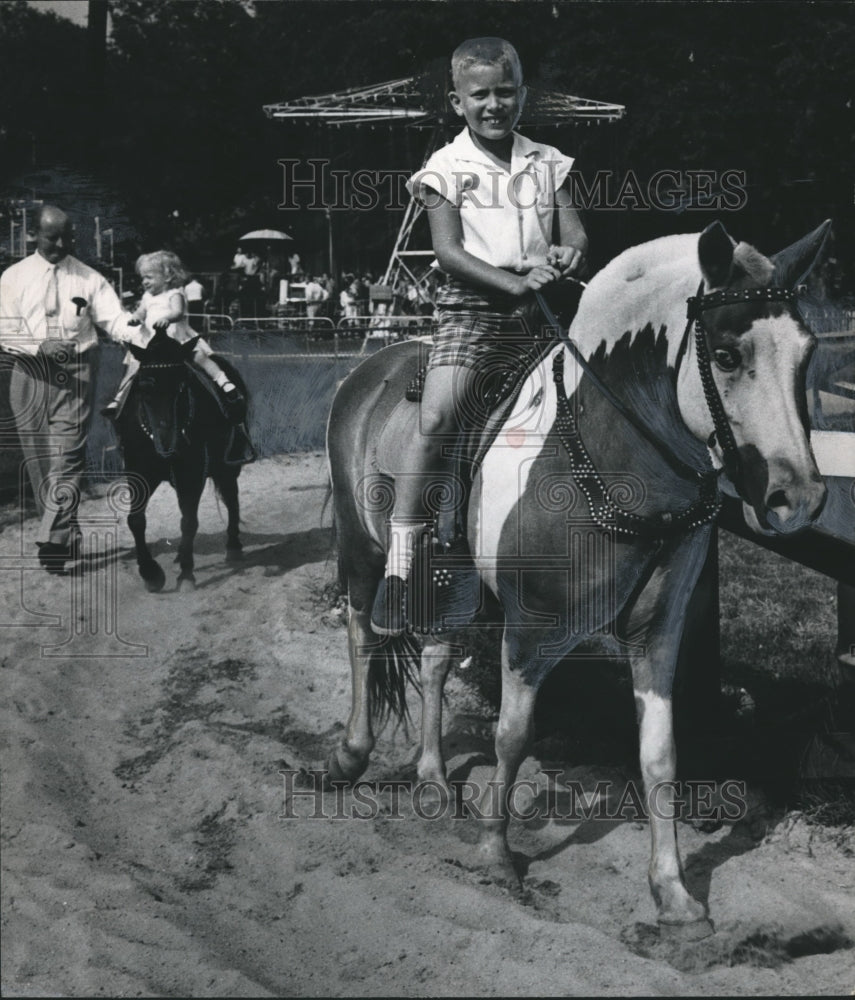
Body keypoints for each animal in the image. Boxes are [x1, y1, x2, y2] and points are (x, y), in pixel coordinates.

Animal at [326, 221, 828, 936]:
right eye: (728, 356)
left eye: (807, 354)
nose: (799, 501)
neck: (600, 451)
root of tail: (368, 369)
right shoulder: (530, 631)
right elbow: (512, 736)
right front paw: (495, 855)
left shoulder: (658, 636)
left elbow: (659, 754)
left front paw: (673, 893)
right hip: (361, 547)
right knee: (364, 635)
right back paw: (350, 754)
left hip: (452, 584)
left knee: (435, 658)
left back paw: (432, 779)